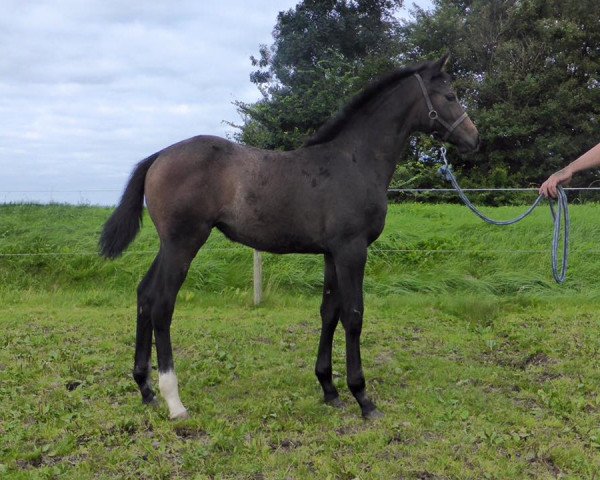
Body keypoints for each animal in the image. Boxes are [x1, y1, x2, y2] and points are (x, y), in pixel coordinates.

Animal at [101, 54, 480, 418]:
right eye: (450, 95)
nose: (473, 138)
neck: (355, 161)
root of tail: (159, 156)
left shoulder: (332, 253)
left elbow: (329, 312)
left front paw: (329, 389)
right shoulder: (352, 250)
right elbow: (354, 315)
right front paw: (362, 397)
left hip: (169, 246)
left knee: (144, 295)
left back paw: (146, 389)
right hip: (183, 243)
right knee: (162, 303)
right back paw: (174, 401)